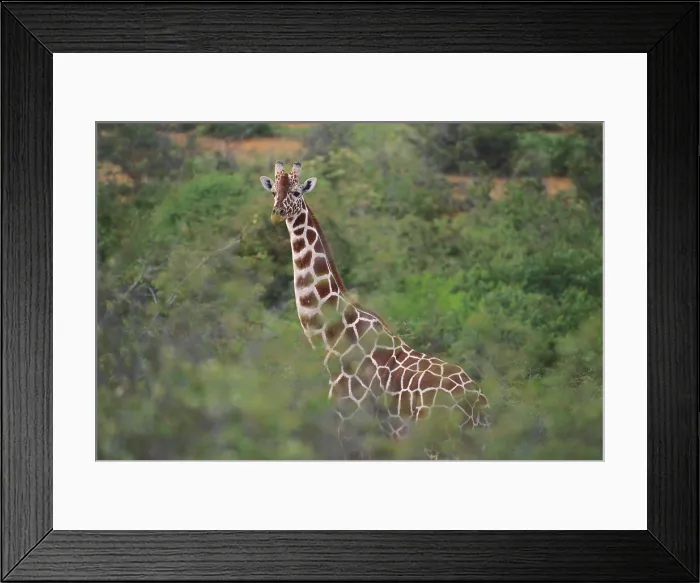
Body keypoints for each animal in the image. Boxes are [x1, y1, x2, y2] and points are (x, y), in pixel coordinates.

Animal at [259, 161, 490, 459]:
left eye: (298, 192)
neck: (332, 342)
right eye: (273, 191)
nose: (277, 215)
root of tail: (478, 405)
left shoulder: (351, 425)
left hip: (440, 446)